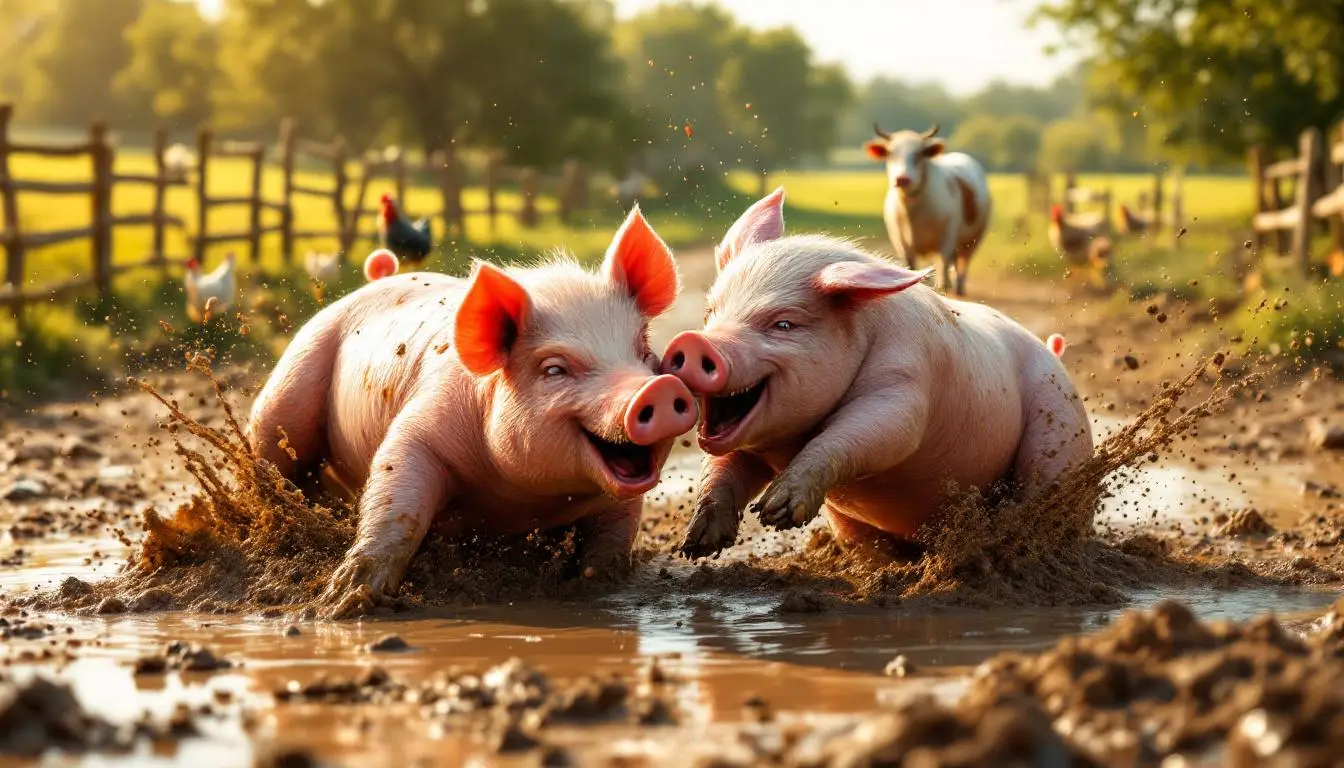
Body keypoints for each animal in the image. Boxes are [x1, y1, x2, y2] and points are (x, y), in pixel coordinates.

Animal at [245, 207, 697, 617]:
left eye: (643, 351)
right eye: (555, 369)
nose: (658, 387)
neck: (519, 500)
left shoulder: (619, 497)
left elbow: (614, 536)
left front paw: (595, 584)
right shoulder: (422, 425)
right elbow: (398, 501)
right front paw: (340, 604)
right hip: (290, 386)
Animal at [661, 188, 1092, 558]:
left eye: (784, 324)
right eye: (710, 313)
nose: (693, 341)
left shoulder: (904, 386)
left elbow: (872, 430)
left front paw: (775, 512)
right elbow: (722, 468)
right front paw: (696, 545)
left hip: (1059, 429)